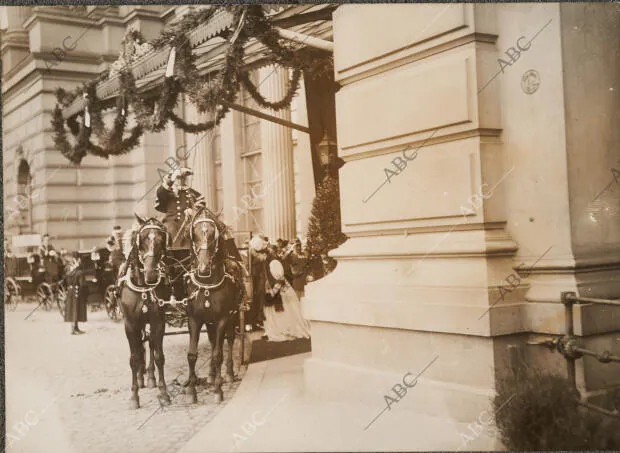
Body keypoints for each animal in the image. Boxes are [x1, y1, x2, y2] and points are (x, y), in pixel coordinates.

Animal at [120, 214, 172, 408]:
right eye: (141, 239)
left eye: (161, 239)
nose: (151, 273)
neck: (142, 286)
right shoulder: (130, 324)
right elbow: (134, 358)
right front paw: (134, 396)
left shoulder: (158, 322)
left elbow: (158, 356)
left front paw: (163, 393)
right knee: (139, 346)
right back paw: (142, 377)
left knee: (148, 343)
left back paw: (149, 376)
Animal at [183, 208, 243, 402]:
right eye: (193, 233)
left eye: (213, 234)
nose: (203, 267)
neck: (207, 284)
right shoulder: (194, 319)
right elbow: (192, 355)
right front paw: (191, 390)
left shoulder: (223, 318)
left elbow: (218, 354)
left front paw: (218, 390)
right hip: (209, 322)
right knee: (211, 341)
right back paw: (210, 375)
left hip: (233, 316)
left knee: (228, 341)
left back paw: (228, 373)